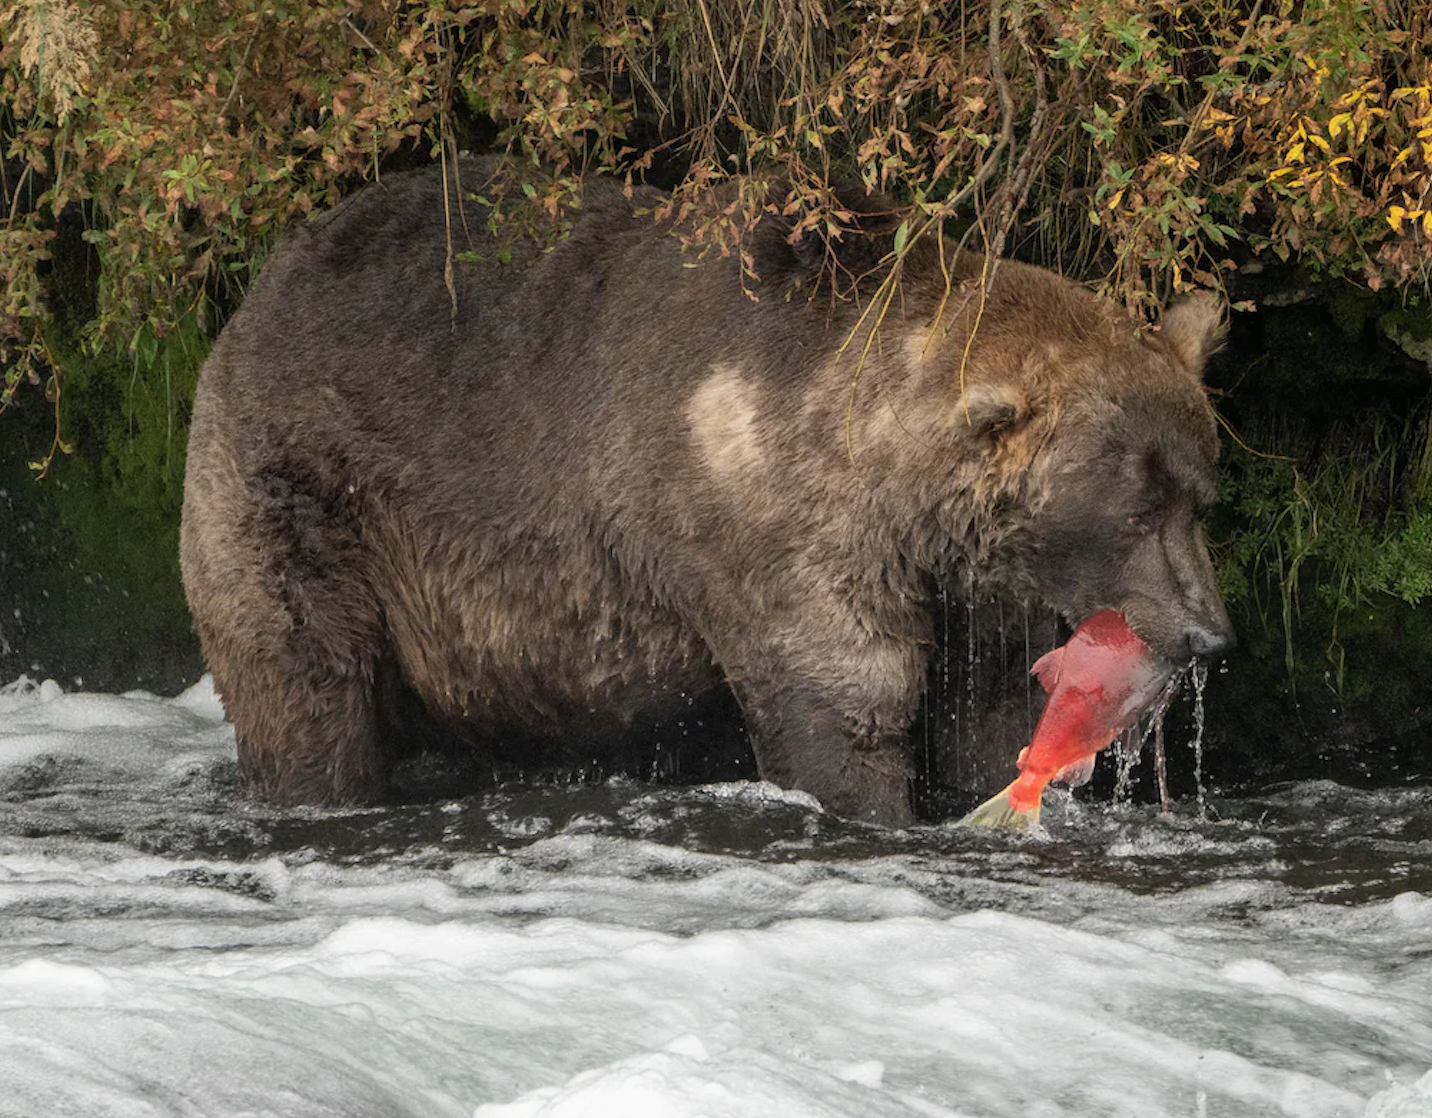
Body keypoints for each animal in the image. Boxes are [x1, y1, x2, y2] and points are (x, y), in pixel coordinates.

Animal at [179, 156, 1231, 824]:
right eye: (1135, 508)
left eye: (1199, 495)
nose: (1209, 633)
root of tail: (261, 284)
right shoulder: (778, 526)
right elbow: (847, 702)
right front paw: (875, 804)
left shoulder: (972, 578)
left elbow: (987, 711)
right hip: (306, 490)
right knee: (306, 680)